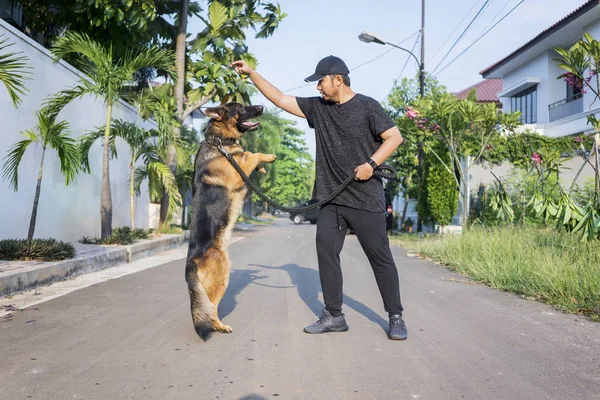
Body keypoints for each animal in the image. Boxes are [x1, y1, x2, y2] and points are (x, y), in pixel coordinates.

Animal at [185, 103, 276, 340]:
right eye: (241, 108)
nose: (261, 106)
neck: (219, 142)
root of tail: (191, 263)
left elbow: (247, 155)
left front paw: (261, 167)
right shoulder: (237, 175)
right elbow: (253, 154)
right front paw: (268, 157)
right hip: (222, 275)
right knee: (211, 308)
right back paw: (219, 326)